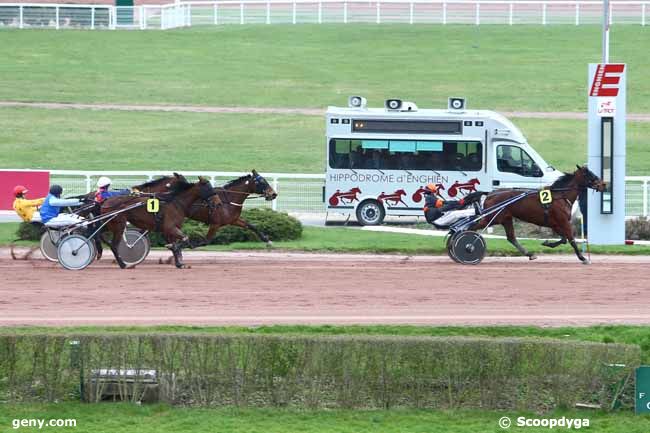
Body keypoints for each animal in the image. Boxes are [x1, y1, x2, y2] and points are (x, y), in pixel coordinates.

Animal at [470, 165, 604, 264]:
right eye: (588, 174)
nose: (603, 184)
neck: (561, 196)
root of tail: (490, 194)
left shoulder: (555, 224)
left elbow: (564, 239)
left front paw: (547, 243)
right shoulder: (563, 222)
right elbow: (571, 239)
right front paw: (583, 258)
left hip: (506, 218)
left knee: (511, 237)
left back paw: (530, 254)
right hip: (493, 218)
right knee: (472, 226)